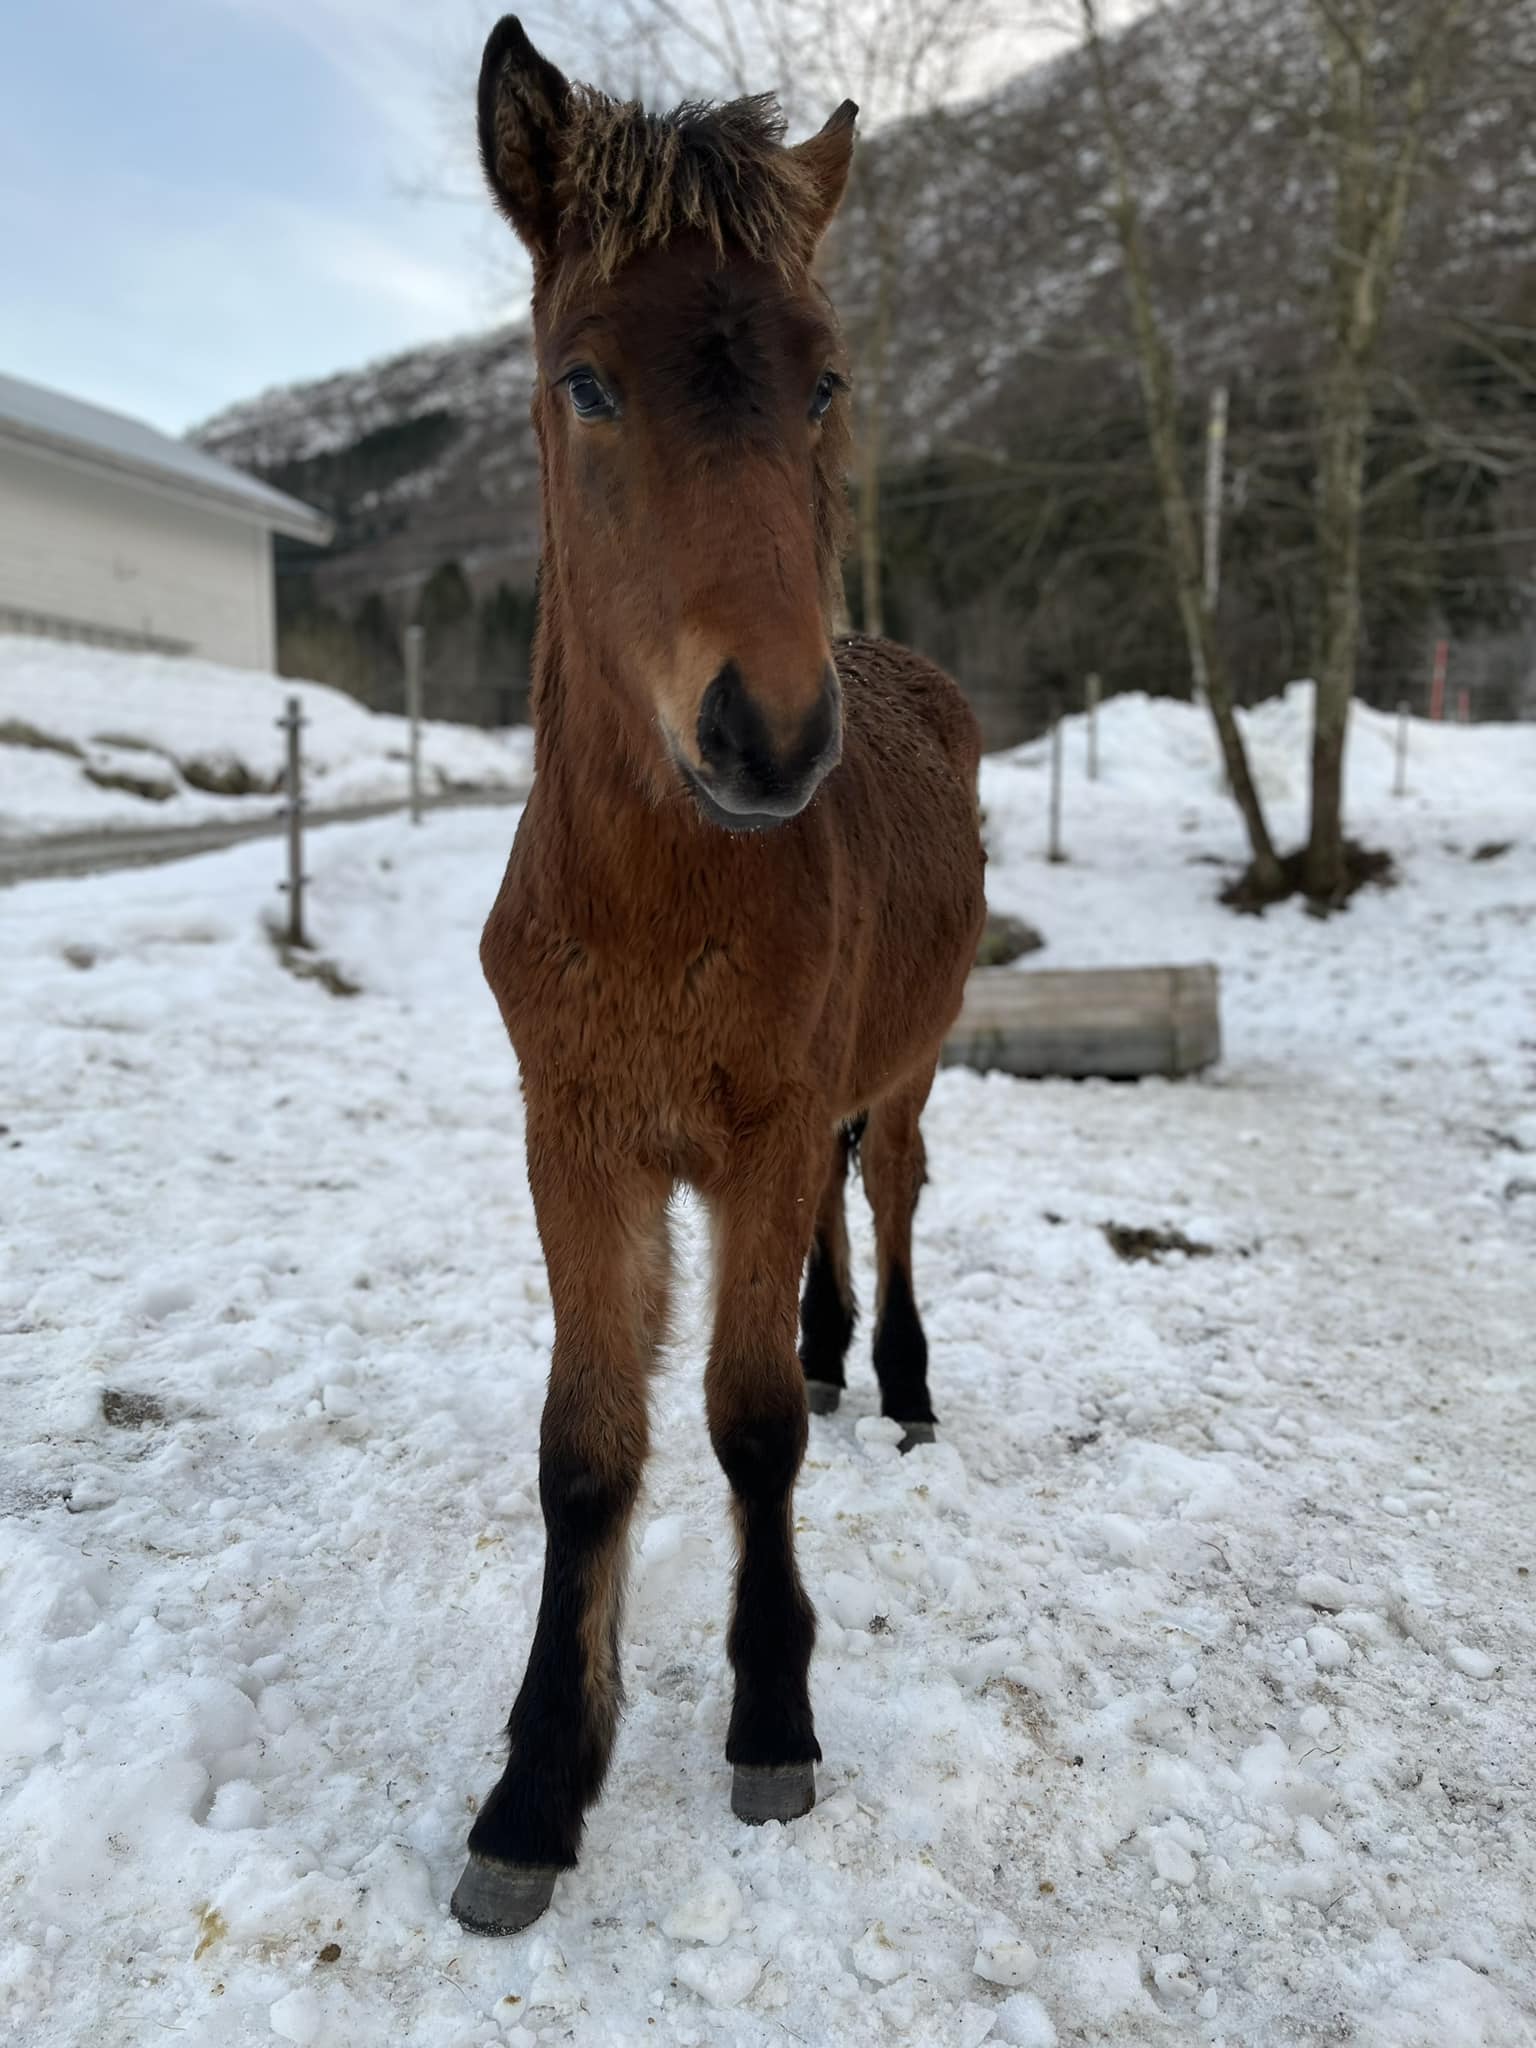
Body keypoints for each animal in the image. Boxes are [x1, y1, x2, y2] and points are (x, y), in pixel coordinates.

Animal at [450, 19, 991, 1933]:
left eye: (823, 383)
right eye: (587, 383)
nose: (767, 733)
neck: (657, 906)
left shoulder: (760, 1117)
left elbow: (747, 1425)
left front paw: (771, 1720)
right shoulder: (578, 1136)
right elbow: (587, 1444)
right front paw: (537, 1788)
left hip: (906, 1060)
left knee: (886, 1189)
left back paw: (895, 1378)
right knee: (833, 1213)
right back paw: (840, 1352)